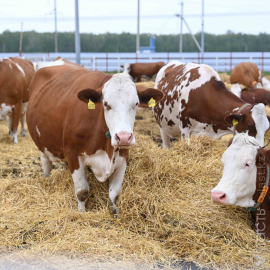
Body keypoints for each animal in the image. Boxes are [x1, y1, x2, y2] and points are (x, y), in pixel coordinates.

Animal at [26, 58, 163, 215]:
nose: (123, 137)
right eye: (106, 104)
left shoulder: (123, 156)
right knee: (46, 163)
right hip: (42, 145)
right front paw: (81, 213)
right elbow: (82, 191)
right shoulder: (73, 154)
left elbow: (115, 194)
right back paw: (47, 178)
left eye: (136, 104)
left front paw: (116, 213)